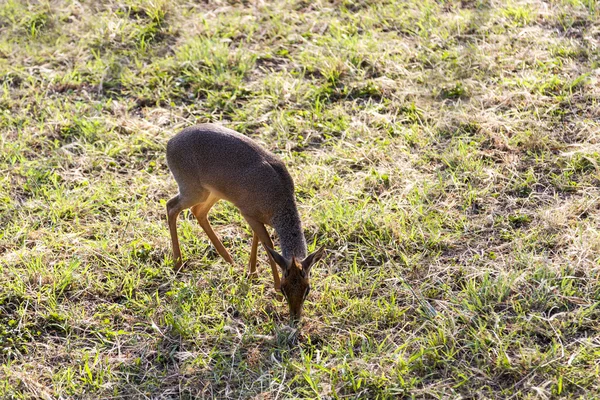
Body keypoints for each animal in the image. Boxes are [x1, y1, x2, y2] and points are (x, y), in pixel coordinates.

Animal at [165, 123, 324, 324]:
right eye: (285, 287)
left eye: (307, 289)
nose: (295, 318)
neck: (279, 198)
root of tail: (170, 142)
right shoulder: (248, 214)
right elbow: (268, 244)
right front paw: (272, 285)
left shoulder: (255, 218)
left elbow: (258, 240)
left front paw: (252, 273)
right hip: (193, 192)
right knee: (171, 207)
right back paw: (178, 264)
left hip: (213, 193)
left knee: (198, 212)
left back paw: (229, 260)